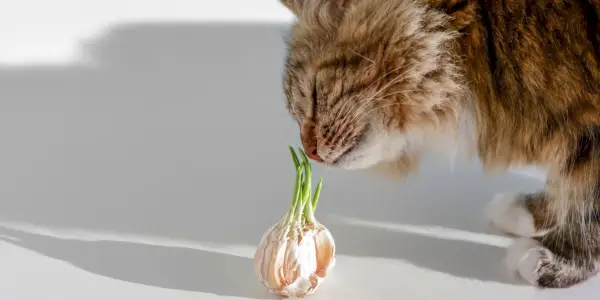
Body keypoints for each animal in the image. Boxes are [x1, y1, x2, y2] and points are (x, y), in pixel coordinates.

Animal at [280, 0, 600, 288]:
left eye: (315, 95)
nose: (309, 151)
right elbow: (563, 182)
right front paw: (535, 213)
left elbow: (588, 207)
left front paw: (560, 259)